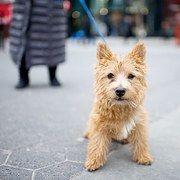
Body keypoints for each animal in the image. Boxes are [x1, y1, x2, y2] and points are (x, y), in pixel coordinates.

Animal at [84, 41, 153, 171]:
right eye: (110, 75)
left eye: (131, 76)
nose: (120, 91)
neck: (120, 108)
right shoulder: (98, 124)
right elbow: (97, 143)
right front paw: (94, 161)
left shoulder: (139, 124)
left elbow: (141, 141)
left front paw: (143, 157)